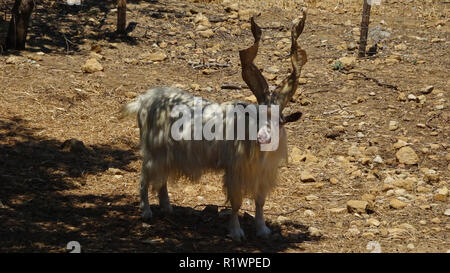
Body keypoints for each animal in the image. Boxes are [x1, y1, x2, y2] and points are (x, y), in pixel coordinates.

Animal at [121, 9, 308, 241]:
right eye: (256, 116)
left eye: (279, 120)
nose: (263, 138)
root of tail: (144, 100)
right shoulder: (235, 170)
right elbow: (236, 203)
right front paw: (236, 232)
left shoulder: (262, 174)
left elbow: (260, 200)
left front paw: (262, 229)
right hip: (152, 151)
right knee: (144, 177)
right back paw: (146, 211)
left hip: (166, 154)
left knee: (161, 179)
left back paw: (167, 208)